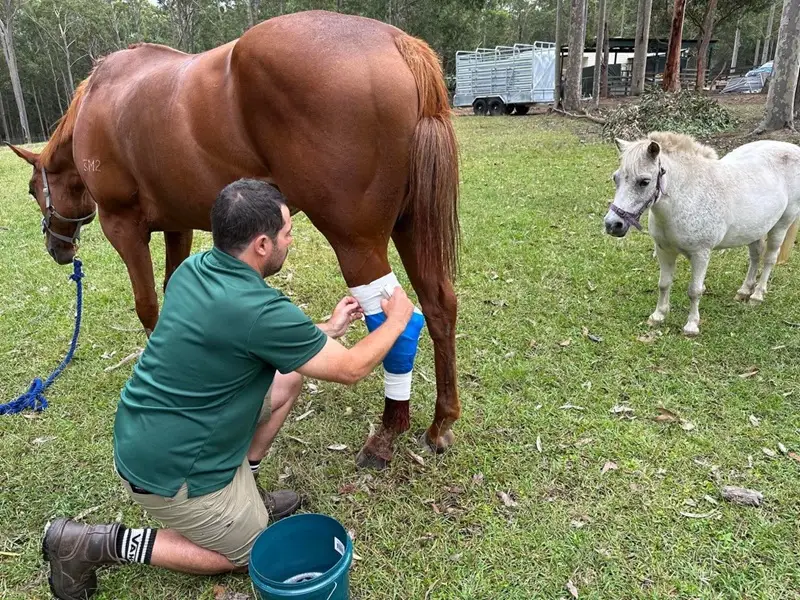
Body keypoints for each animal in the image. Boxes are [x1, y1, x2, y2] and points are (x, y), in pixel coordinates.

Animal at [7, 10, 461, 470]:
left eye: (32, 190)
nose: (57, 249)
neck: (100, 102)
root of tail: (395, 41)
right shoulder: (179, 225)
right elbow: (173, 290)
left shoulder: (123, 227)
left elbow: (148, 305)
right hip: (411, 227)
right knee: (438, 305)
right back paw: (440, 423)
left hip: (356, 242)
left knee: (397, 321)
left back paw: (387, 433)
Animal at [604, 131, 800, 337]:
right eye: (616, 178)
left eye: (644, 182)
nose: (612, 225)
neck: (687, 195)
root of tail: (793, 148)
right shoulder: (664, 251)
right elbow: (664, 284)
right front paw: (658, 316)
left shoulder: (701, 255)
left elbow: (695, 291)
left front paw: (691, 326)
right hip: (755, 229)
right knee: (755, 256)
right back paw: (744, 291)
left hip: (782, 224)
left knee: (769, 258)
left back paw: (757, 295)